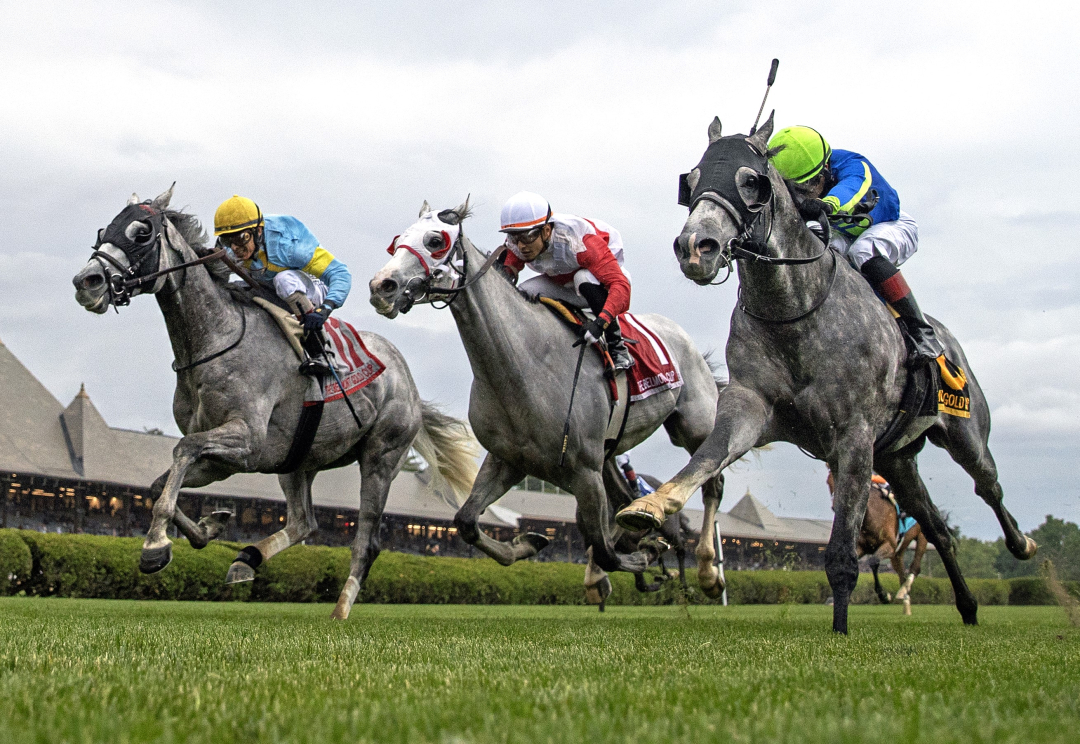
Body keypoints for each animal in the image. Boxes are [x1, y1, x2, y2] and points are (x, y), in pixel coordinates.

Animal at [72, 186, 477, 621]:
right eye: (105, 230)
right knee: (303, 523)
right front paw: (210, 526)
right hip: (297, 461)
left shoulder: (246, 439)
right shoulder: (228, 459)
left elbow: (180, 453)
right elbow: (159, 485)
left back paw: (340, 609)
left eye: (142, 231)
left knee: (366, 542)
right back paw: (245, 561)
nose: (86, 281)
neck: (215, 340)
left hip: (381, 458)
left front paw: (154, 548)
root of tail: (408, 379)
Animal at [371, 199, 725, 600]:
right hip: (609, 455)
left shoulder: (584, 472)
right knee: (626, 498)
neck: (526, 365)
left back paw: (708, 571)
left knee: (711, 482)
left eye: (435, 240)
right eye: (398, 239)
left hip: (693, 426)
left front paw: (647, 555)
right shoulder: (509, 460)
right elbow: (466, 521)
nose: (381, 286)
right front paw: (529, 543)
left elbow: (606, 551)